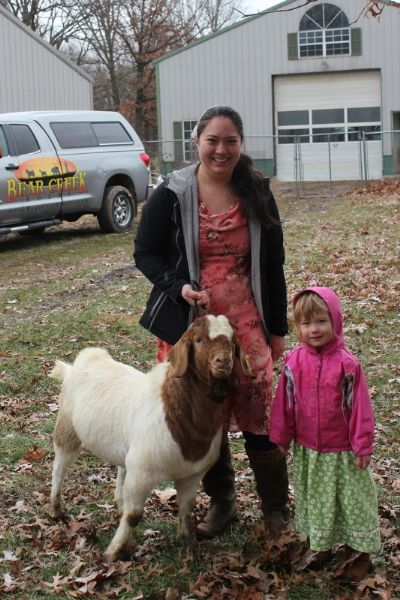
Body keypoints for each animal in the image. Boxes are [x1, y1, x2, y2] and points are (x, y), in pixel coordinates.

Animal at [49, 316, 250, 560]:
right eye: (199, 340)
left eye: (232, 341)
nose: (223, 361)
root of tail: (78, 364)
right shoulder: (142, 473)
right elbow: (134, 515)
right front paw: (114, 552)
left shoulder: (191, 475)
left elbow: (186, 510)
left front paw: (188, 547)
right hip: (67, 429)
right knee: (60, 466)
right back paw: (56, 509)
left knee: (120, 474)